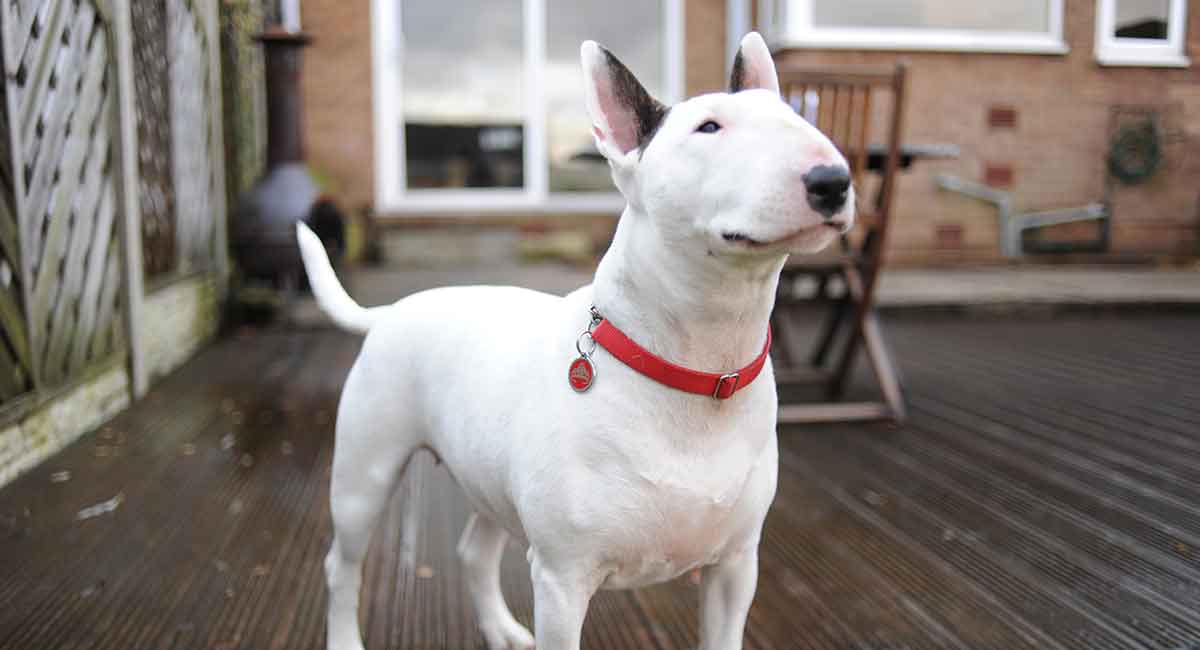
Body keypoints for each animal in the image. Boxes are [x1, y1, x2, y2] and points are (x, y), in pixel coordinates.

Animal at [300, 34, 854, 650]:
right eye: (709, 127)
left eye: (797, 119)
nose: (833, 180)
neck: (697, 368)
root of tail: (390, 312)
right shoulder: (563, 581)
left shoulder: (735, 567)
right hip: (364, 473)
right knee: (341, 564)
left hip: (487, 478)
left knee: (473, 552)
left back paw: (501, 629)